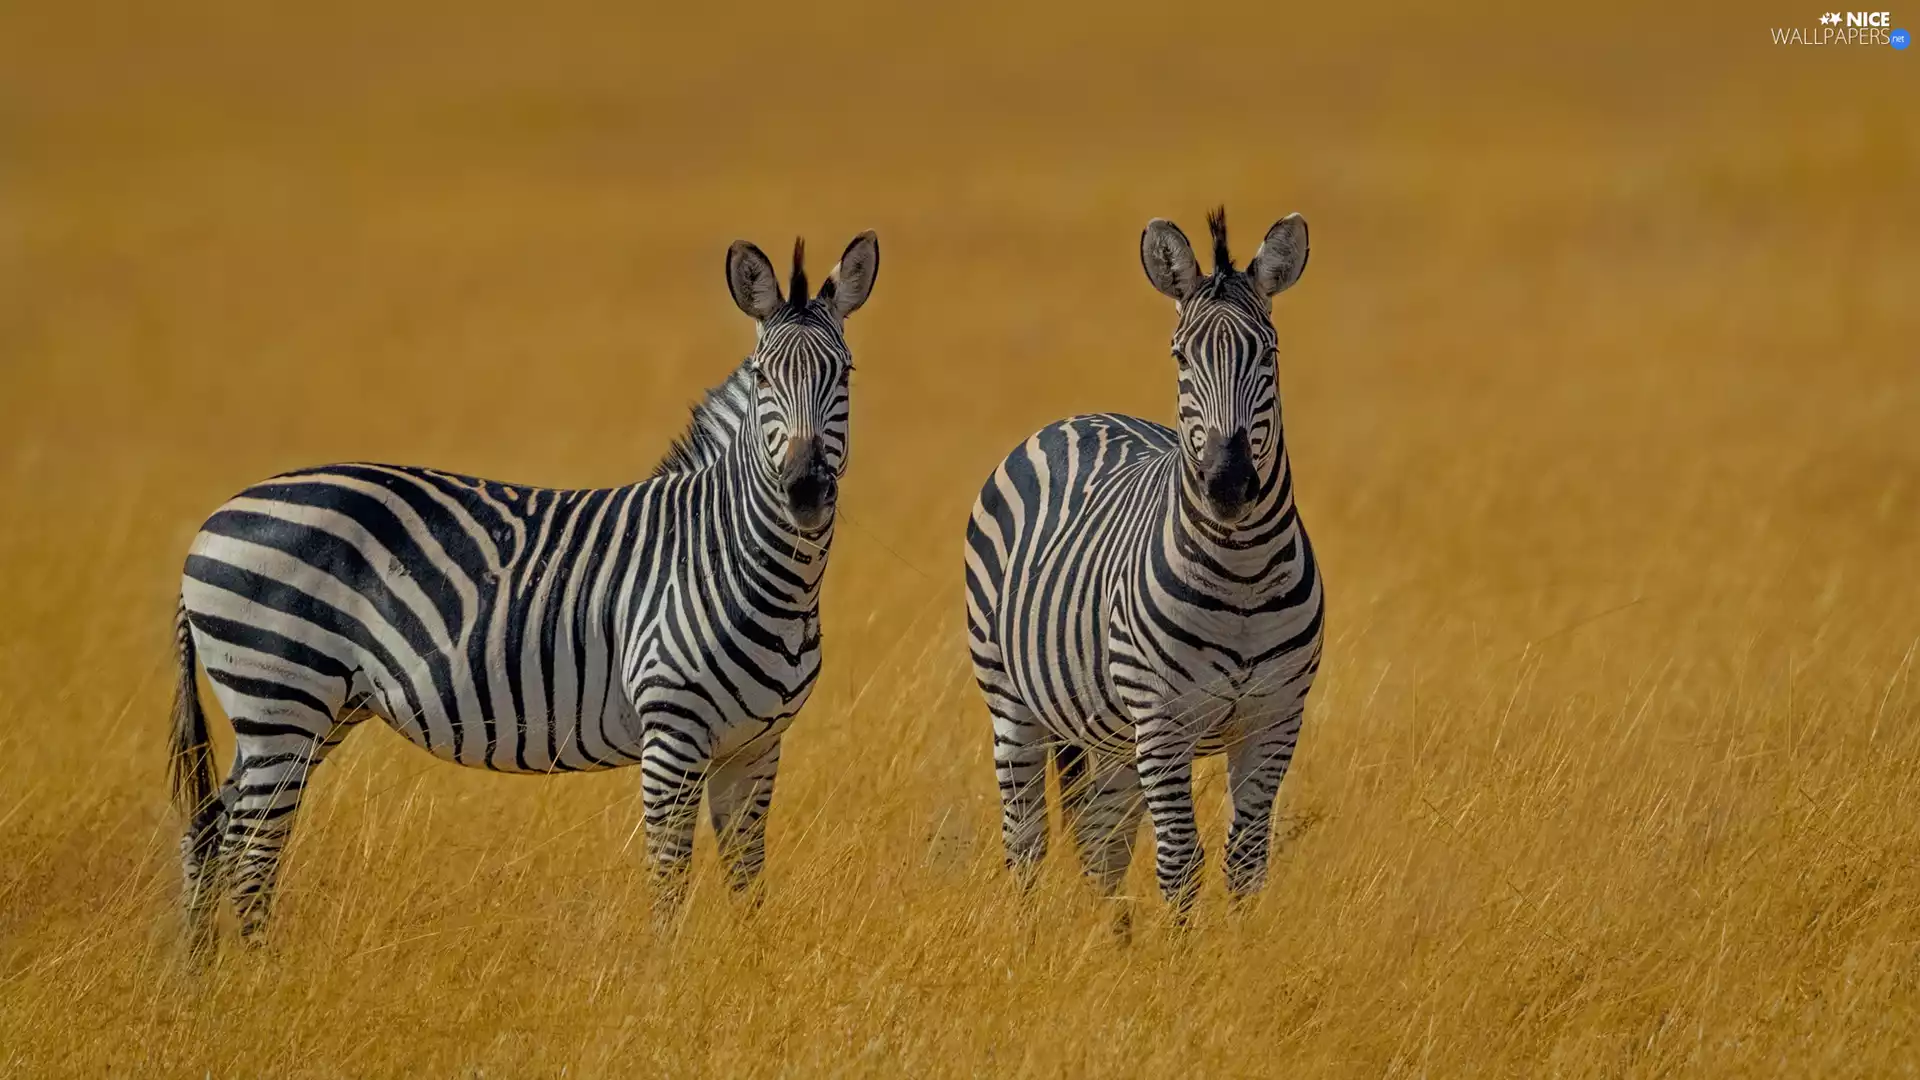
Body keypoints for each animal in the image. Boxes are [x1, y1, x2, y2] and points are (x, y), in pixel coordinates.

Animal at [167, 231, 879, 954]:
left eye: (846, 374)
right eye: (762, 376)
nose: (805, 492)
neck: (744, 563)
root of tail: (214, 519)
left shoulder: (756, 744)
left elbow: (747, 879)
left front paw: (748, 962)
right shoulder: (671, 733)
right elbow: (669, 878)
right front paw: (667, 971)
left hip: (308, 711)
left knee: (211, 829)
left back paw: (199, 972)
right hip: (280, 697)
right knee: (251, 851)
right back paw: (259, 971)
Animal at [964, 207, 1320, 928]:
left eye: (1269, 354)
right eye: (1181, 357)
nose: (1228, 483)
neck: (1242, 575)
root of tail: (1077, 416)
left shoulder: (1276, 718)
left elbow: (1246, 863)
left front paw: (1241, 956)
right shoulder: (1162, 720)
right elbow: (1180, 863)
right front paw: (1182, 958)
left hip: (1109, 732)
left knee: (1102, 843)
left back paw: (1112, 941)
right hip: (1011, 702)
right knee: (1027, 841)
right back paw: (1029, 939)